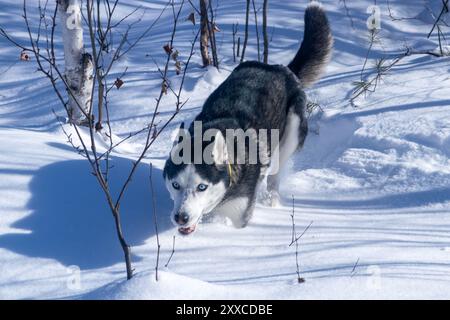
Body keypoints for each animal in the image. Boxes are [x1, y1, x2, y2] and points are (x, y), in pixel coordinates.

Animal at [163, 3, 332, 235]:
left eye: (201, 187)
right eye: (175, 185)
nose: (181, 217)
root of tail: (280, 68)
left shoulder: (239, 212)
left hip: (292, 131)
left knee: (275, 175)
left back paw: (273, 201)